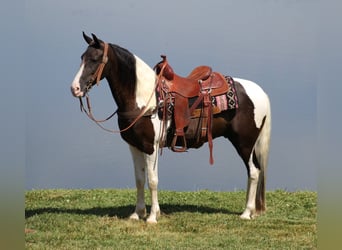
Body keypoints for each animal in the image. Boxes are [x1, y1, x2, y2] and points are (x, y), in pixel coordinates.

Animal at [71, 32, 272, 223]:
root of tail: (260, 92)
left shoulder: (150, 147)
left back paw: (246, 213)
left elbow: (152, 181)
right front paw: (138, 214)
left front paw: (152, 217)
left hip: (244, 143)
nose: (75, 89)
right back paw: (251, 210)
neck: (145, 98)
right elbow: (139, 179)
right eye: (82, 57)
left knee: (254, 172)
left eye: (95, 59)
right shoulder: (134, 146)